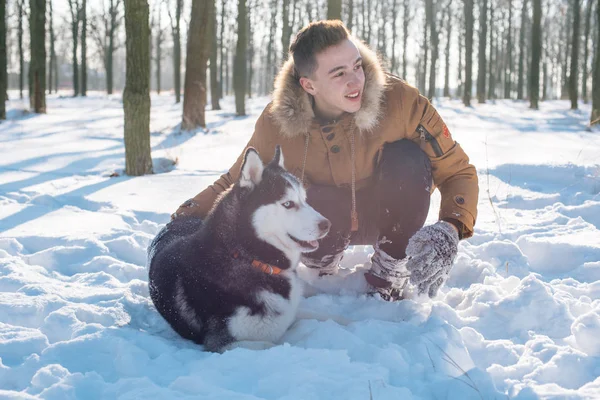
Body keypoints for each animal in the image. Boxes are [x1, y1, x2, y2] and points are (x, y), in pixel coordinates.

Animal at [147, 145, 330, 352]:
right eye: (288, 204)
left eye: (304, 199)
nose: (327, 225)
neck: (251, 259)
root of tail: (177, 222)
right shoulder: (222, 344)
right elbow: (273, 345)